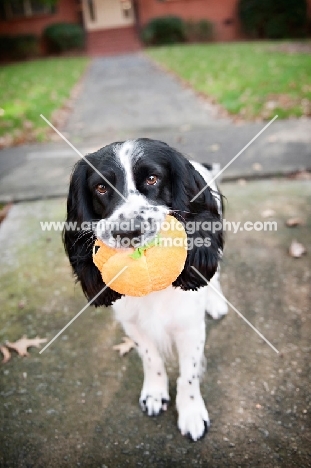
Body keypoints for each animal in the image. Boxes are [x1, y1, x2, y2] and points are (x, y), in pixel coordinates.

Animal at [64, 137, 229, 440]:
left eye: (153, 179)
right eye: (101, 187)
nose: (128, 232)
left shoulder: (190, 327)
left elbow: (188, 375)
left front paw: (191, 412)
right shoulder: (132, 324)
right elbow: (151, 359)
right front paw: (154, 394)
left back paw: (215, 301)